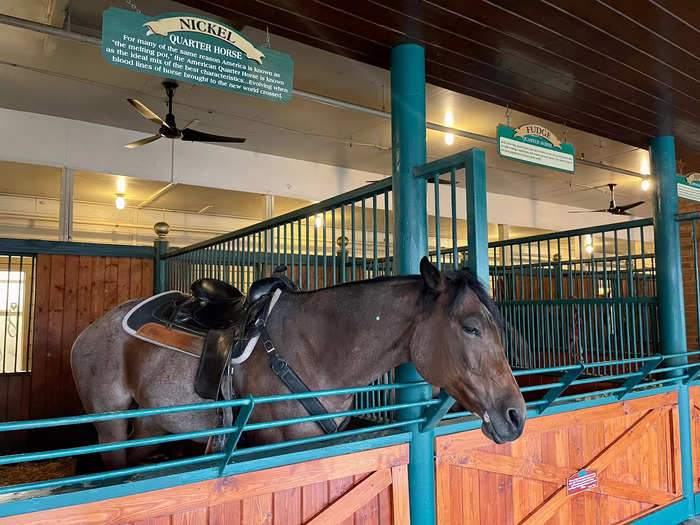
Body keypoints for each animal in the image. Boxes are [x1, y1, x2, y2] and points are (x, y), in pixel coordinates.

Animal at [71, 258, 524, 466]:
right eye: (471, 328)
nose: (515, 416)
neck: (319, 349)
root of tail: (90, 331)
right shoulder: (275, 441)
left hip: (151, 423)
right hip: (109, 422)